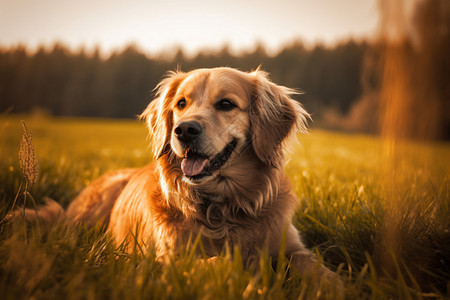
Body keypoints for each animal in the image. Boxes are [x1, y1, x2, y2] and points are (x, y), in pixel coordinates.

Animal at [14, 67, 342, 284]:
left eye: (226, 104)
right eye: (181, 104)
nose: (184, 130)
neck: (220, 208)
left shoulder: (293, 247)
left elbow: (319, 270)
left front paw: (337, 286)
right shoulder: (165, 261)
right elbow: (220, 263)